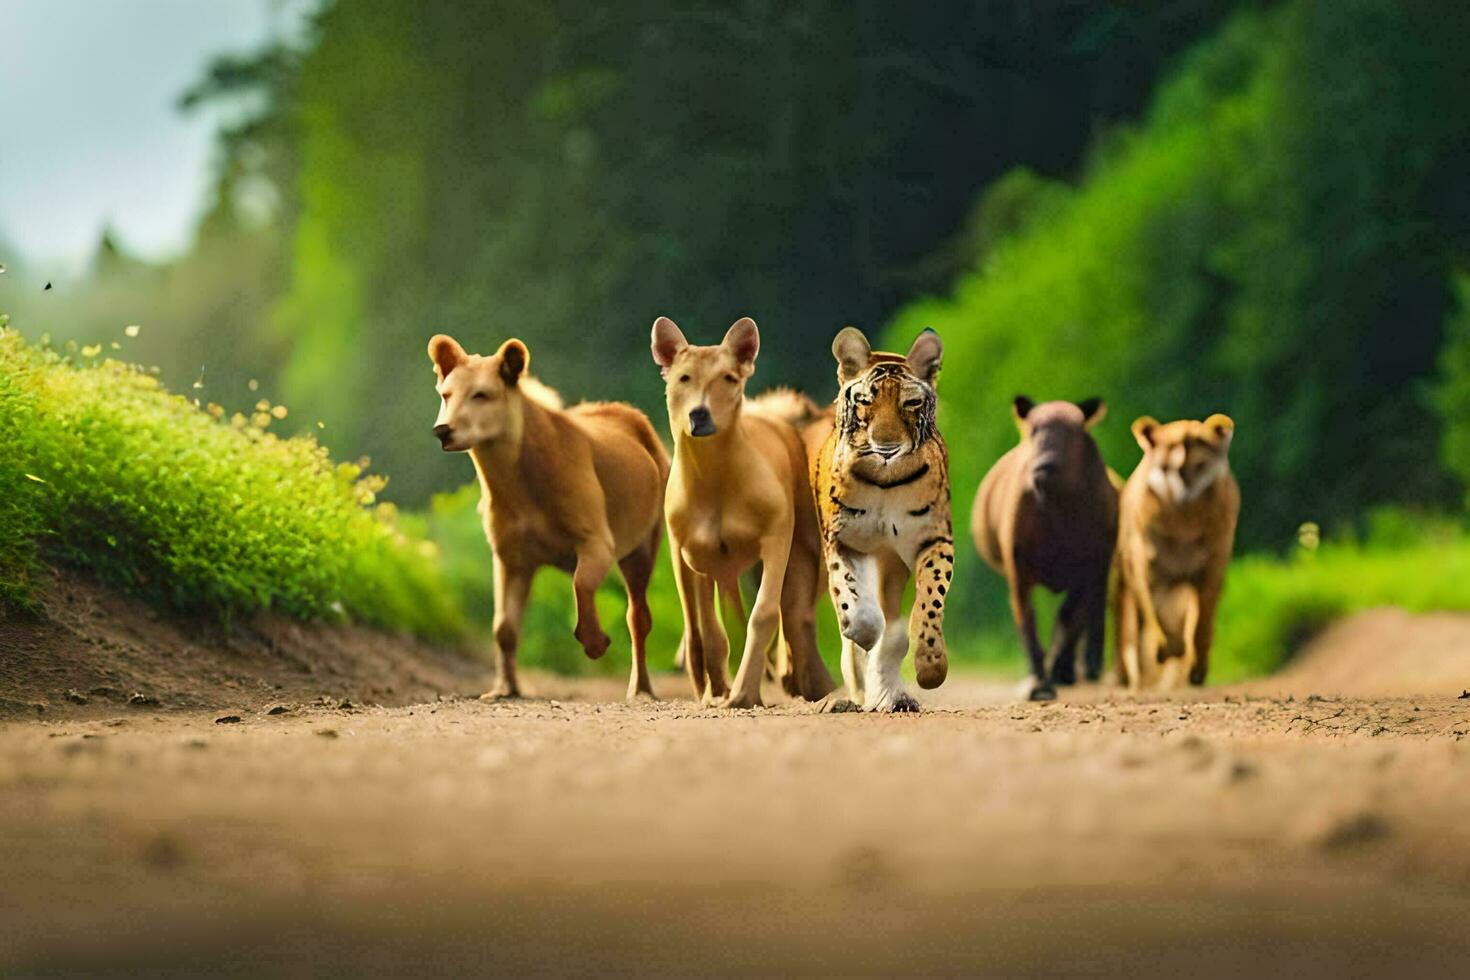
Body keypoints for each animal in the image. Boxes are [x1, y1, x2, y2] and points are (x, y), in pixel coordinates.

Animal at [429, 334, 670, 696]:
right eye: (446, 394)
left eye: (482, 394)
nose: (443, 429)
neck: (518, 486)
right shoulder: (511, 554)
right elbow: (504, 626)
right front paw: (505, 688)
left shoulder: (597, 536)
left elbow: (582, 581)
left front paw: (595, 642)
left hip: (646, 536)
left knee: (638, 614)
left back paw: (640, 687)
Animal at [649, 318, 834, 708]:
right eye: (684, 378)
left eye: (729, 377)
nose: (700, 414)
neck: (716, 485)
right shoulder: (690, 551)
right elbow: (707, 629)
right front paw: (717, 690)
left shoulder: (777, 536)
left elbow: (764, 613)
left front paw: (744, 692)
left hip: (803, 541)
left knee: (797, 613)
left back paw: (809, 681)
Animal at [805, 329, 952, 714]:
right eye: (865, 401)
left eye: (911, 403)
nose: (886, 447)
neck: (885, 481)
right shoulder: (842, 539)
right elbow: (854, 605)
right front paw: (863, 633)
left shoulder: (934, 540)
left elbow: (929, 601)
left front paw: (930, 665)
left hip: (893, 567)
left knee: (894, 623)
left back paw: (891, 694)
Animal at [976, 393, 1111, 702]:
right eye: (1034, 430)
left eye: (1074, 431)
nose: (1045, 466)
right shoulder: (1017, 569)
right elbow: (1027, 618)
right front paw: (1039, 682)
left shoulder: (1088, 568)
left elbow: (1069, 619)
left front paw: (1057, 669)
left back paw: (1070, 671)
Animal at [1111, 414, 1240, 690]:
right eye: (1165, 467)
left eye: (1200, 465)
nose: (1183, 497)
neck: (1184, 523)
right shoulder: (1149, 569)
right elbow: (1156, 614)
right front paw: (1169, 649)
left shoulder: (1211, 568)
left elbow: (1202, 623)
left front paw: (1197, 670)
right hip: (1126, 578)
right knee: (1129, 626)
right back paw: (1130, 676)